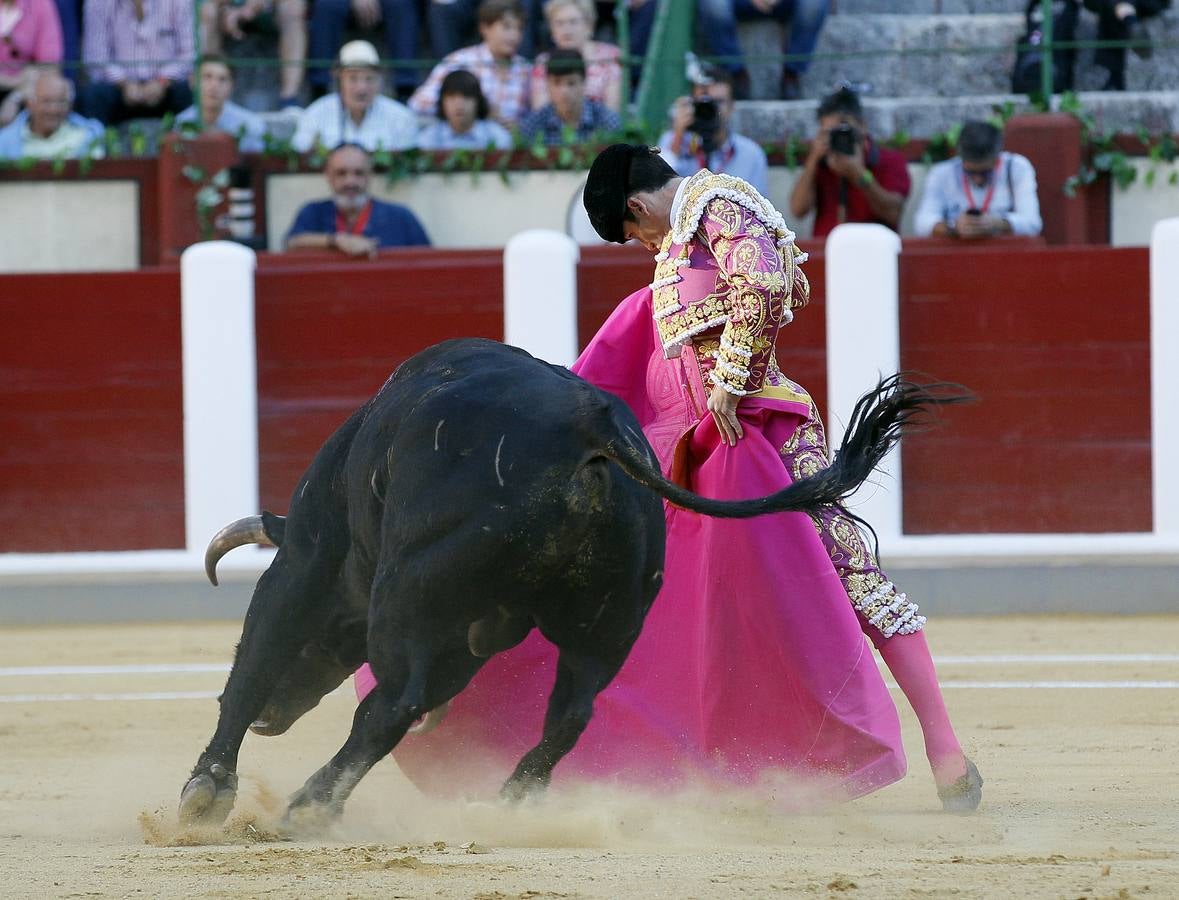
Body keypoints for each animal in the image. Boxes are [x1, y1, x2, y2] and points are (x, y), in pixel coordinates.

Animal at [179, 334, 962, 825]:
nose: (276, 718)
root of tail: (594, 426)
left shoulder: (308, 557)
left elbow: (254, 657)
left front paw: (206, 789)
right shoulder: (471, 636)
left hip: (408, 598)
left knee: (391, 706)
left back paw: (308, 807)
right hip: (608, 622)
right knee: (569, 714)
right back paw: (508, 802)